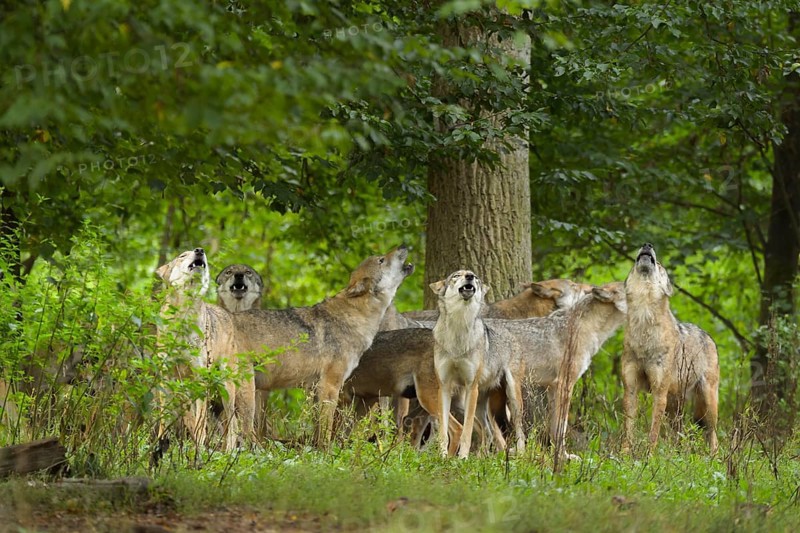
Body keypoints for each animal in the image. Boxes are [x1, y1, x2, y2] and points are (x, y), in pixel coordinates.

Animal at [238, 245, 414, 446]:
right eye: (381, 260)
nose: (404, 246)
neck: (355, 316)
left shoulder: (317, 390)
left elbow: (318, 430)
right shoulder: (330, 385)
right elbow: (326, 431)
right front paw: (326, 452)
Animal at [621, 243, 719, 454]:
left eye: (659, 264)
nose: (647, 244)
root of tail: (708, 336)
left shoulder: (659, 392)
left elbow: (653, 432)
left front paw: (649, 456)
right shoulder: (630, 389)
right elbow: (628, 429)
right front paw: (622, 455)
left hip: (707, 402)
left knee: (713, 435)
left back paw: (714, 458)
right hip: (674, 408)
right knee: (678, 435)